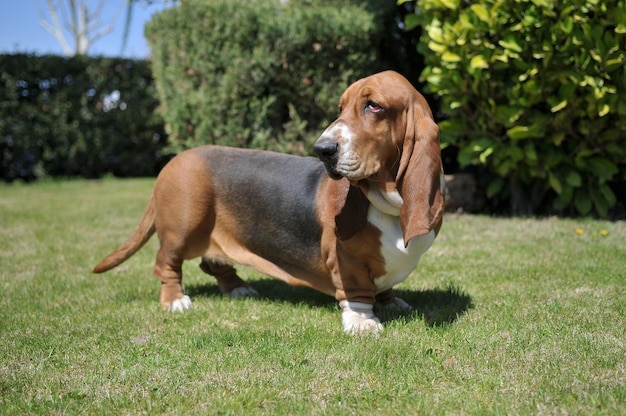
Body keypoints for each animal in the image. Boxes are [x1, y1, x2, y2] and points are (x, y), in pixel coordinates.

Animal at [94, 70, 444, 334]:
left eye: (374, 106)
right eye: (341, 108)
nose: (322, 150)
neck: (387, 204)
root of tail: (174, 160)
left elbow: (384, 287)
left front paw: (390, 301)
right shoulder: (348, 262)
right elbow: (357, 292)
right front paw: (362, 322)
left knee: (213, 262)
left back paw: (238, 287)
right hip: (182, 229)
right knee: (166, 264)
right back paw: (175, 300)